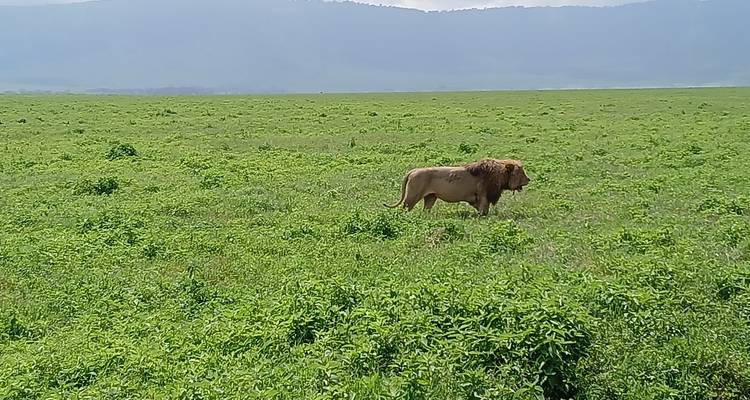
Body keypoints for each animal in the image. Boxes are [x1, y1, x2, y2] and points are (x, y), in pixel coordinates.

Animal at [384, 159, 530, 216]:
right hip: (412, 197)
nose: (529, 179)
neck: (499, 175)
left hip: (431, 197)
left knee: (426, 210)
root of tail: (413, 171)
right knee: (405, 208)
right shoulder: (483, 195)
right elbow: (483, 210)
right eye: (521, 172)